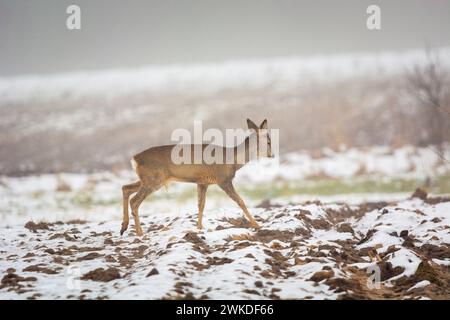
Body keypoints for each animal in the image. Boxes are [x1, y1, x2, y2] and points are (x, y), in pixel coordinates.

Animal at [121, 119, 272, 236]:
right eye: (269, 141)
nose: (272, 155)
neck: (233, 161)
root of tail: (134, 159)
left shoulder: (203, 182)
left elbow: (201, 205)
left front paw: (199, 227)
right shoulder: (223, 179)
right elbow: (240, 201)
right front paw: (257, 225)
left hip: (148, 179)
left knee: (125, 188)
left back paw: (124, 227)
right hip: (154, 180)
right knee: (134, 201)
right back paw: (139, 233)